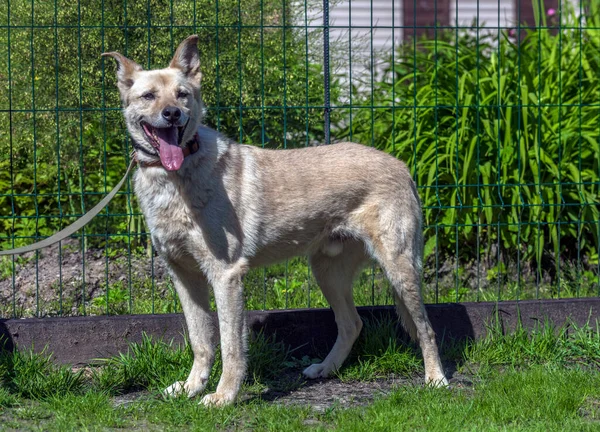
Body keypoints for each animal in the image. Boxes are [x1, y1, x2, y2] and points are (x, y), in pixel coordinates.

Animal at [103, 35, 448, 406]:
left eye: (182, 94)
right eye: (149, 96)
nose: (172, 114)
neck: (176, 177)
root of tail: (402, 166)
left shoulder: (226, 276)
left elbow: (230, 346)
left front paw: (223, 396)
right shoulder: (184, 276)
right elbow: (200, 340)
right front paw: (192, 387)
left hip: (399, 269)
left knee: (426, 329)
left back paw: (436, 379)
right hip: (327, 271)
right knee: (352, 324)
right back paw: (325, 369)